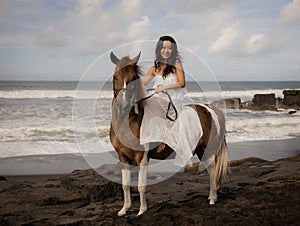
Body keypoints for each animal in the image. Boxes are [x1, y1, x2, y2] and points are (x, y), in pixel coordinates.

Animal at [109, 51, 229, 217]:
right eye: (115, 77)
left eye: (133, 78)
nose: (123, 105)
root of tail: (211, 109)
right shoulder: (123, 157)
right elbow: (125, 185)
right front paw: (124, 209)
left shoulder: (142, 157)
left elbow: (141, 185)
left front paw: (141, 211)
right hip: (200, 150)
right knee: (211, 170)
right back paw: (212, 197)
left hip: (207, 150)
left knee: (212, 171)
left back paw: (212, 199)